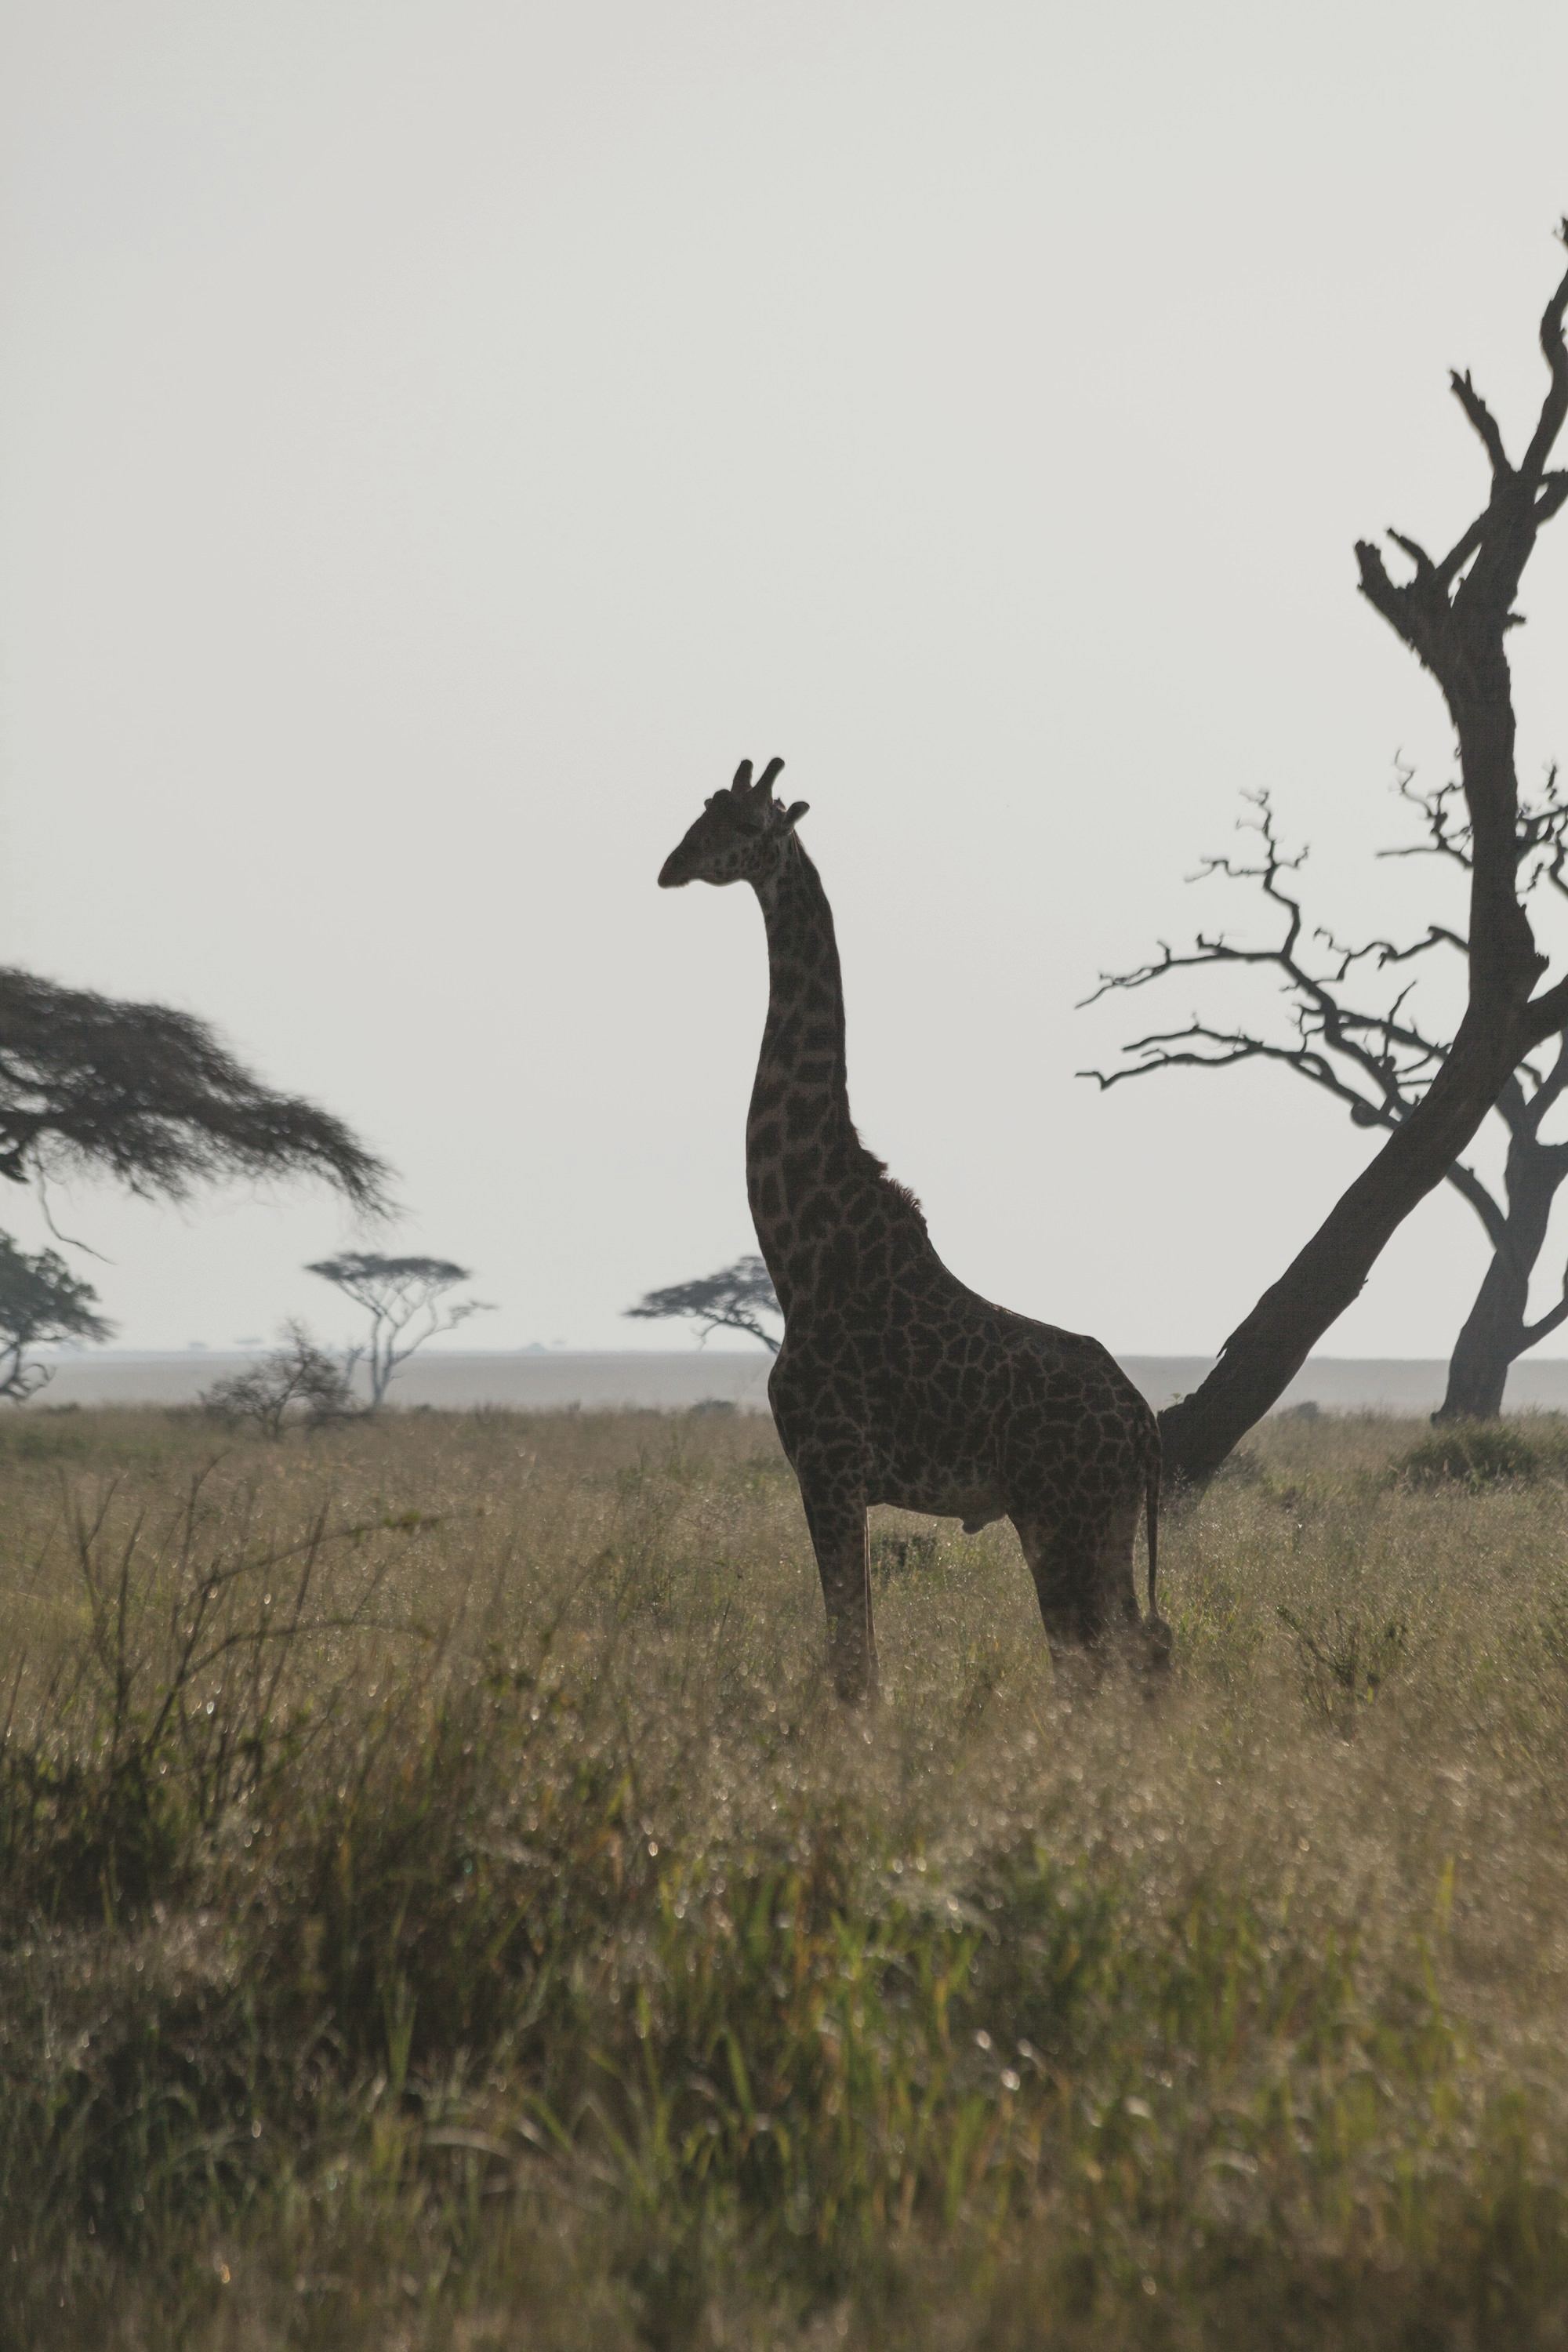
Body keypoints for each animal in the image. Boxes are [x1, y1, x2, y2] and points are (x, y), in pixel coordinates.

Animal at [659, 758, 1170, 1702]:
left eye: (745, 826)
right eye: (698, 814)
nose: (672, 866)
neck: (799, 1244)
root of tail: (1142, 1424)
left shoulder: (828, 1465)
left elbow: (852, 1660)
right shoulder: (834, 1474)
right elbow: (856, 1651)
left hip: (1062, 1517)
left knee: (1097, 1659)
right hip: (1103, 1520)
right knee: (1141, 1649)